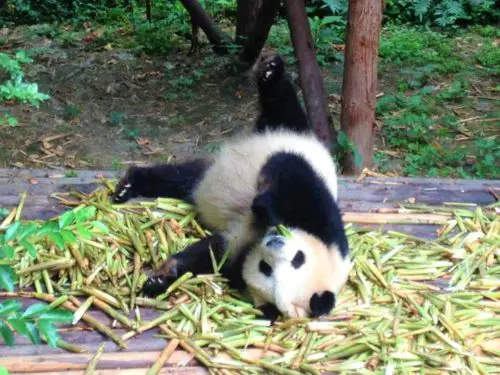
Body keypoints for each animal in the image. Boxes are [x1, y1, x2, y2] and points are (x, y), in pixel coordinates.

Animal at [111, 53, 350, 324]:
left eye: (265, 269)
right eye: (299, 259)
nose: (274, 241)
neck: (257, 237)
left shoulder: (236, 253)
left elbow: (207, 257)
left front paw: (161, 279)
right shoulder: (323, 218)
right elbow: (287, 176)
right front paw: (264, 206)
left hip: (203, 180)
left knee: (181, 179)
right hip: (289, 132)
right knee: (282, 105)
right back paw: (271, 71)